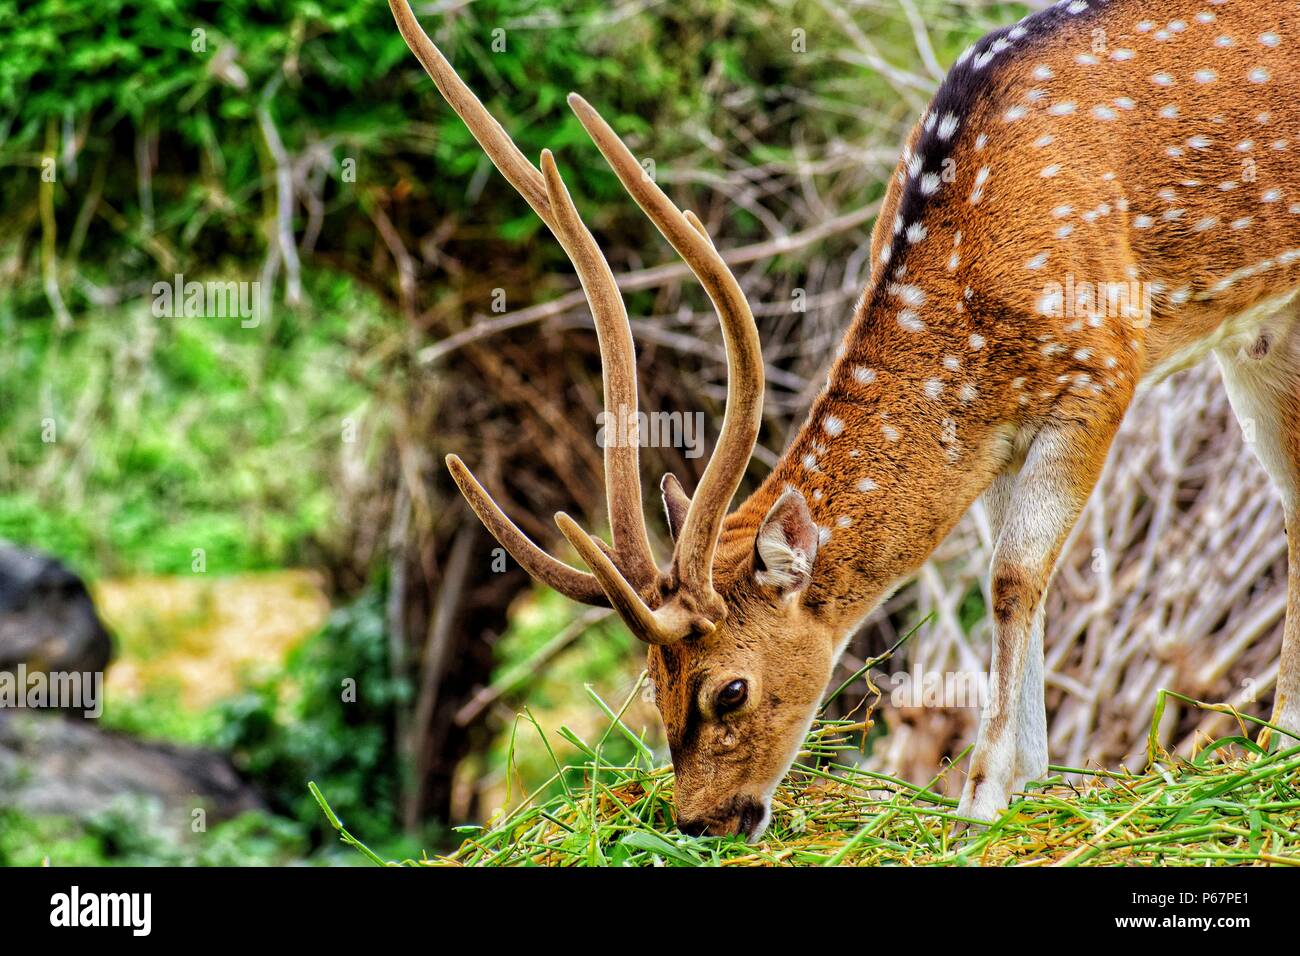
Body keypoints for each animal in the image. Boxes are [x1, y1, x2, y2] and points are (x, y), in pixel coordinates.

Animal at [390, 0, 1300, 838]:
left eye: (730, 689)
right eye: (654, 683)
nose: (700, 822)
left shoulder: (1103, 365)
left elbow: (1011, 576)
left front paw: (981, 797)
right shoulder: (1005, 433)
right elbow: (1020, 583)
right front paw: (1031, 782)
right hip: (1261, 336)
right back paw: (1279, 745)